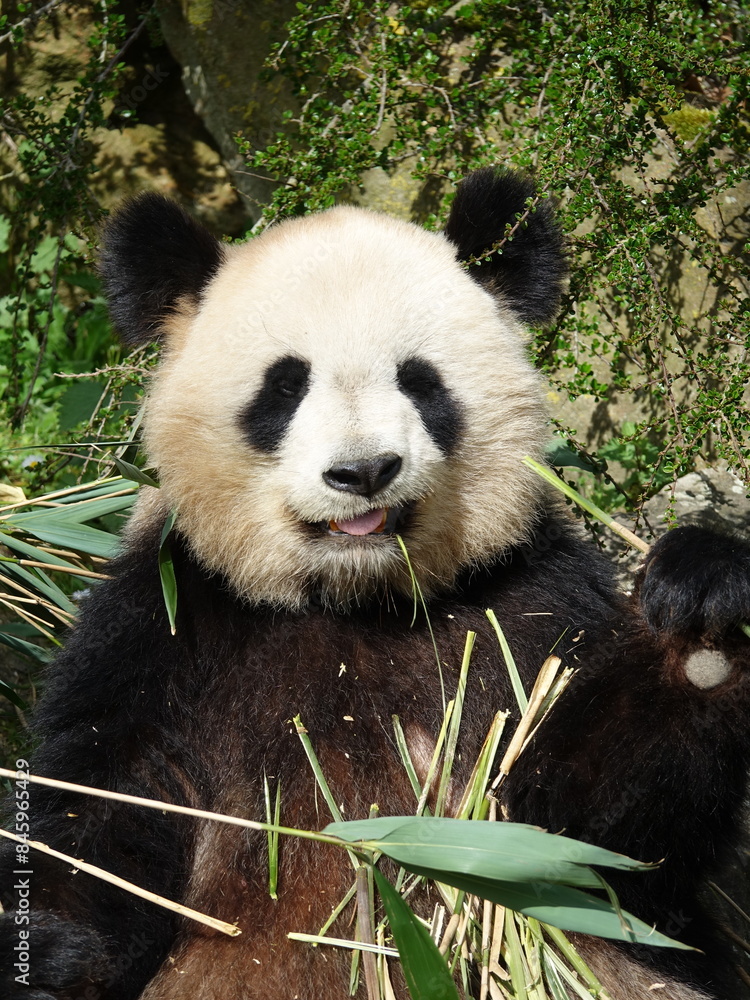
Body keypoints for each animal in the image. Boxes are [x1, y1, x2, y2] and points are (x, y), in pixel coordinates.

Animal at [1, 168, 750, 1000]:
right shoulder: (165, 629)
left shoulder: (531, 606)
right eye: (284, 387)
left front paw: (702, 620)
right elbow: (107, 817)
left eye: (420, 381)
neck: (357, 601)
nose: (363, 471)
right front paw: (45, 950)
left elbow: (594, 842)